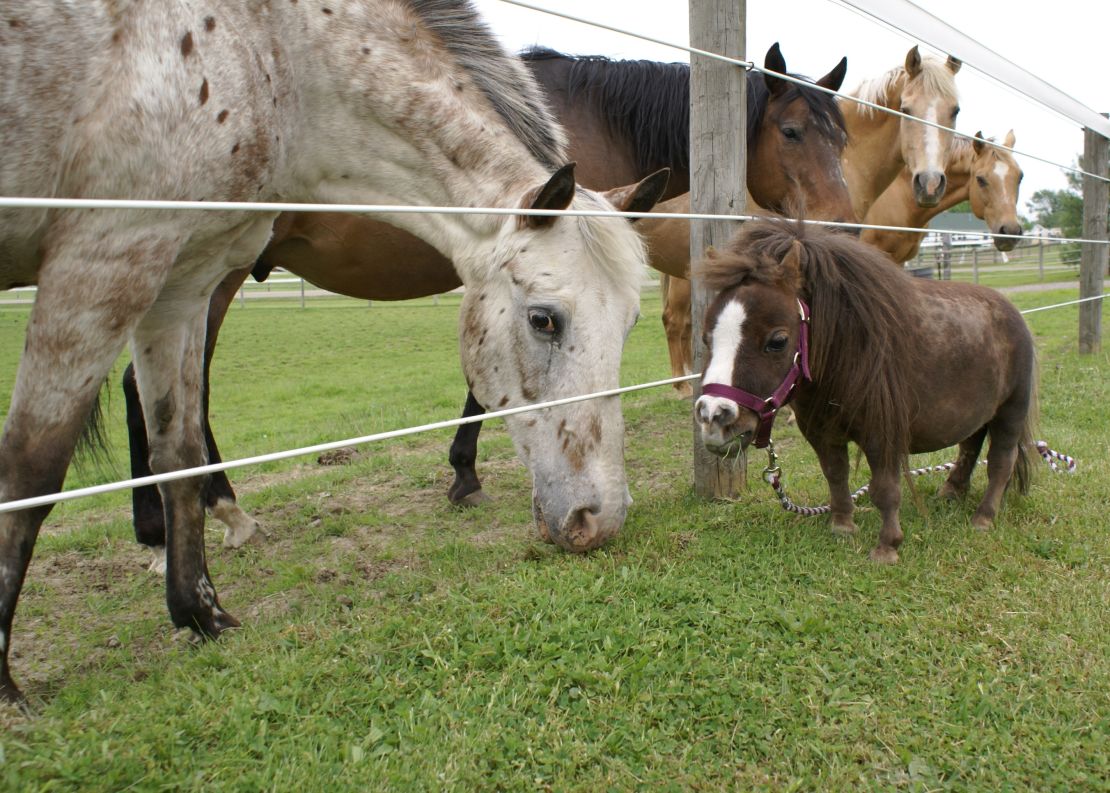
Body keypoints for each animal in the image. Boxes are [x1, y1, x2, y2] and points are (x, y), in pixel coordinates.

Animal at [0, 0, 666, 701]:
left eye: (630, 323)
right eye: (543, 319)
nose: (600, 519)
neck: (275, 60)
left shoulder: (185, 273)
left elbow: (175, 445)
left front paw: (202, 615)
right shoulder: (107, 254)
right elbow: (32, 467)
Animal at [119, 40, 848, 559]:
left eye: (842, 137)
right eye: (792, 131)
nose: (841, 219)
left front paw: (463, 475)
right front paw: (465, 476)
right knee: (155, 391)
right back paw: (207, 516)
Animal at [697, 216, 1034, 561]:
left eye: (777, 341)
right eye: (706, 338)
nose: (713, 417)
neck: (848, 353)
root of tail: (1011, 311)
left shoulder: (882, 436)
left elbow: (884, 489)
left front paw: (887, 547)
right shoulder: (822, 432)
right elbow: (836, 474)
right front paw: (843, 526)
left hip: (1010, 411)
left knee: (1001, 462)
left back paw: (984, 517)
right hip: (977, 414)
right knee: (969, 448)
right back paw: (951, 491)